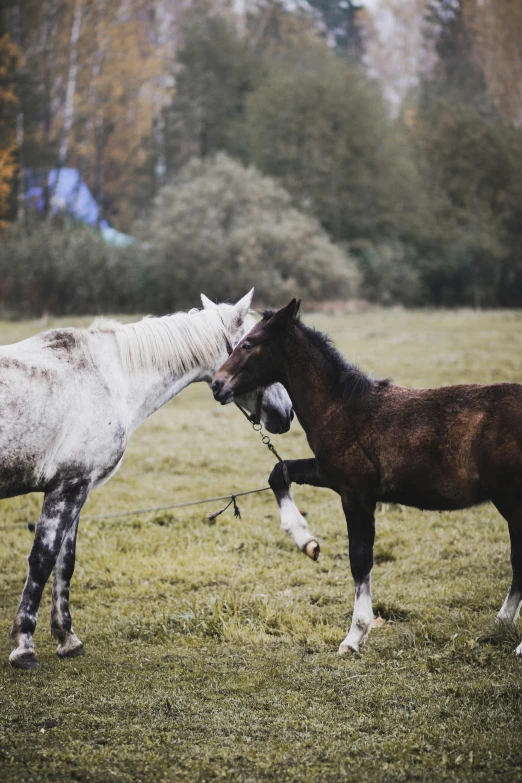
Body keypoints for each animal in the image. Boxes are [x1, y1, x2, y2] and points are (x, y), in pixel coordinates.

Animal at [7, 290, 292, 672]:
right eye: (256, 347)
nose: (287, 413)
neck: (108, 379)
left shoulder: (74, 488)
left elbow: (64, 564)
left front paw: (67, 639)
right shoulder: (67, 488)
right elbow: (41, 560)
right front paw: (24, 646)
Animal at [210, 300, 520, 656]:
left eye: (249, 344)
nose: (217, 385)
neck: (340, 405)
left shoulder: (355, 492)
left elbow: (360, 558)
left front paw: (355, 635)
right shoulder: (329, 474)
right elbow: (278, 473)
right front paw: (306, 541)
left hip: (511, 500)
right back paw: (500, 626)